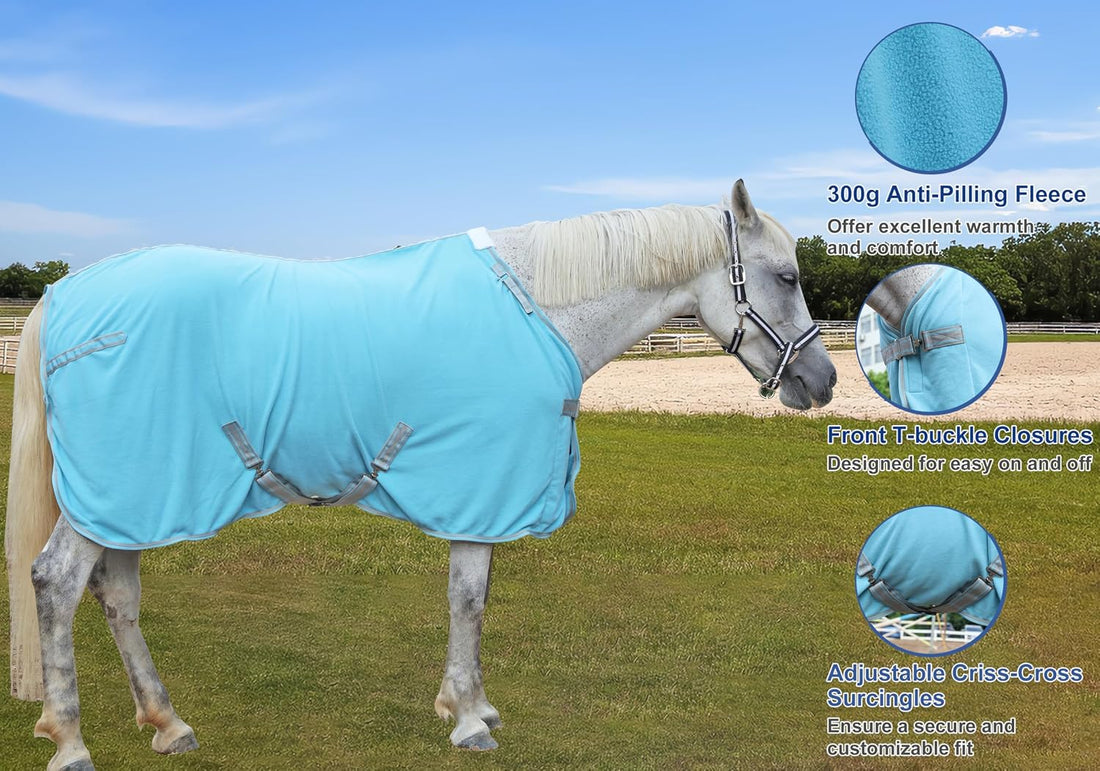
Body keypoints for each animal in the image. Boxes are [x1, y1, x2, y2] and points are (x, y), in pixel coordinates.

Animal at [6, 180, 836, 769]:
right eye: (787, 275)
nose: (823, 380)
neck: (536, 307)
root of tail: (66, 295)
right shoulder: (479, 488)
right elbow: (468, 599)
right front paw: (469, 718)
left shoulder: (483, 493)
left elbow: (480, 597)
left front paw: (473, 704)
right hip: (116, 492)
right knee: (57, 582)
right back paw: (72, 742)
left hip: (129, 497)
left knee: (117, 593)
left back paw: (168, 722)